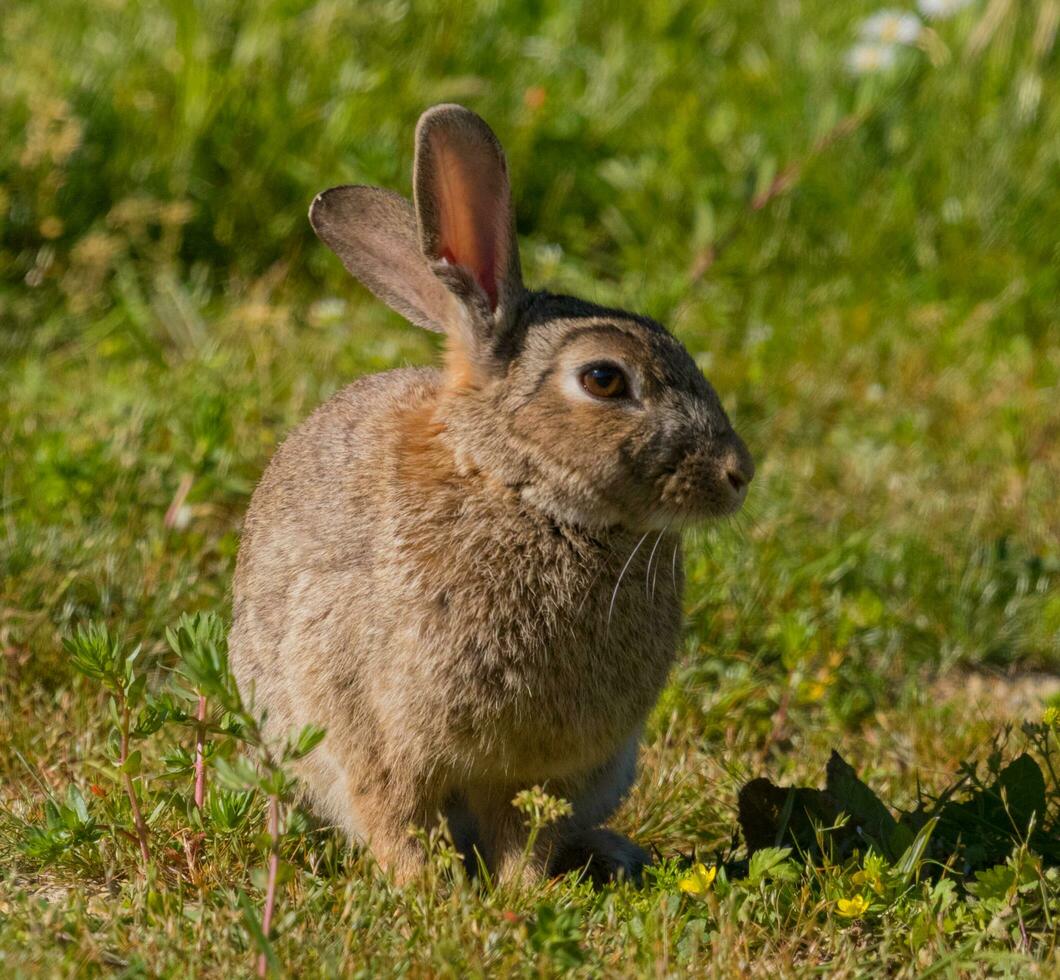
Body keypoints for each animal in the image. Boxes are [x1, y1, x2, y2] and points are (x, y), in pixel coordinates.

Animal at [230, 103, 754, 881]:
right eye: (604, 378)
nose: (737, 473)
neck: (520, 490)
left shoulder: (535, 770)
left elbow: (520, 830)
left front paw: (525, 891)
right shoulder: (373, 730)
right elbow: (396, 816)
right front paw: (426, 890)